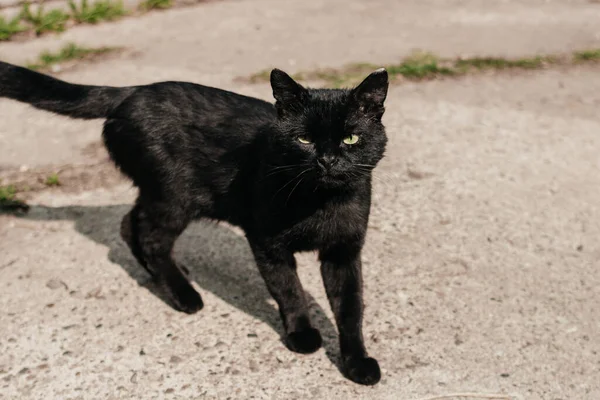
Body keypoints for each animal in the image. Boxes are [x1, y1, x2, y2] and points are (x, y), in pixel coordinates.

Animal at [0, 62, 390, 384]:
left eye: (351, 137)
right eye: (304, 139)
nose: (327, 160)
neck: (322, 202)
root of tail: (131, 91)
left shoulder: (344, 251)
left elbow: (350, 308)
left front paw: (357, 362)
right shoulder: (266, 242)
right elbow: (289, 290)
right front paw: (302, 335)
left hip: (160, 194)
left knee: (130, 224)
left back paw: (165, 277)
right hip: (174, 197)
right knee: (150, 236)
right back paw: (184, 295)